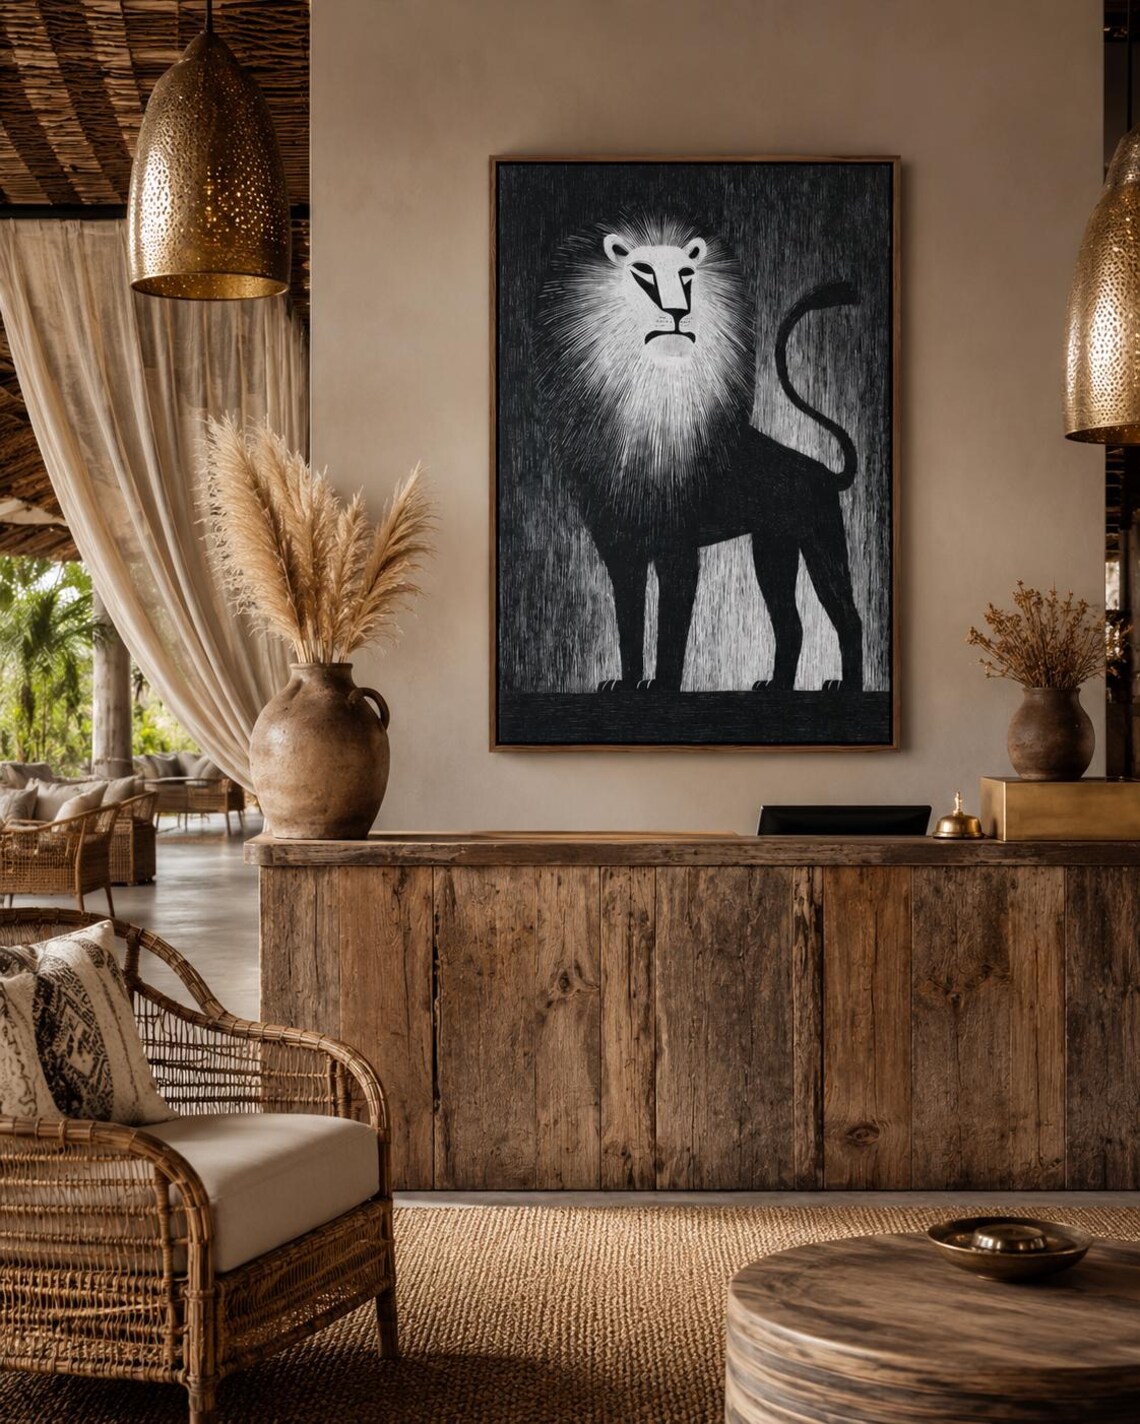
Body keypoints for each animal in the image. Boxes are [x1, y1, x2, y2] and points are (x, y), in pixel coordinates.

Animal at [537, 216, 864, 693]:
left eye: (686, 276)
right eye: (643, 273)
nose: (676, 312)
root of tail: (818, 469)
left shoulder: (677, 551)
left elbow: (670, 625)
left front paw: (661, 686)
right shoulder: (620, 550)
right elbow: (629, 625)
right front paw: (627, 684)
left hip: (820, 544)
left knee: (847, 616)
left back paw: (847, 686)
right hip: (773, 550)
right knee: (791, 623)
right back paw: (775, 687)